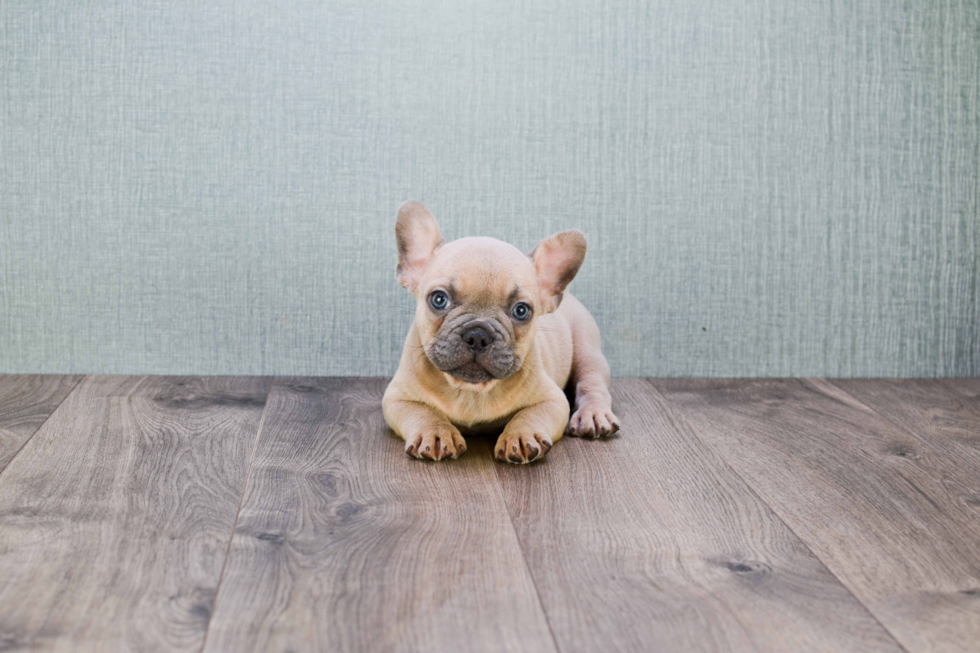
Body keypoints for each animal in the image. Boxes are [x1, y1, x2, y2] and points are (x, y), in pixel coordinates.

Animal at [382, 201, 620, 460]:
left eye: (521, 311)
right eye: (438, 299)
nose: (478, 335)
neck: (470, 390)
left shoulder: (553, 400)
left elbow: (530, 414)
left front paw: (522, 435)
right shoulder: (396, 398)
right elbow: (423, 411)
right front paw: (434, 432)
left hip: (588, 353)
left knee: (592, 385)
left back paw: (593, 415)